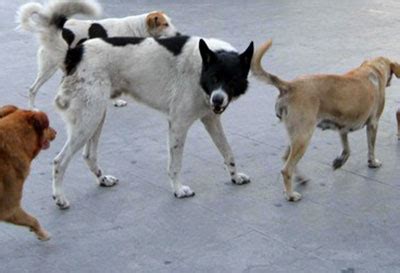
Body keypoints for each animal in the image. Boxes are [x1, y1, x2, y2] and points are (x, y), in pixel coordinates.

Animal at [16, 0, 180, 108]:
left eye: (170, 22)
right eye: (165, 24)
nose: (179, 34)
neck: (137, 28)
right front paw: (116, 101)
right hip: (49, 67)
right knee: (32, 90)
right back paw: (33, 110)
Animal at [252, 38, 400, 200]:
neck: (373, 69)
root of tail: (289, 86)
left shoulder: (343, 127)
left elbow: (347, 149)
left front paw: (340, 161)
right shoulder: (373, 123)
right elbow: (371, 147)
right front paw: (372, 162)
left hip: (296, 136)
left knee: (286, 158)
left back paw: (301, 179)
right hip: (303, 137)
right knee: (286, 169)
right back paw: (291, 195)